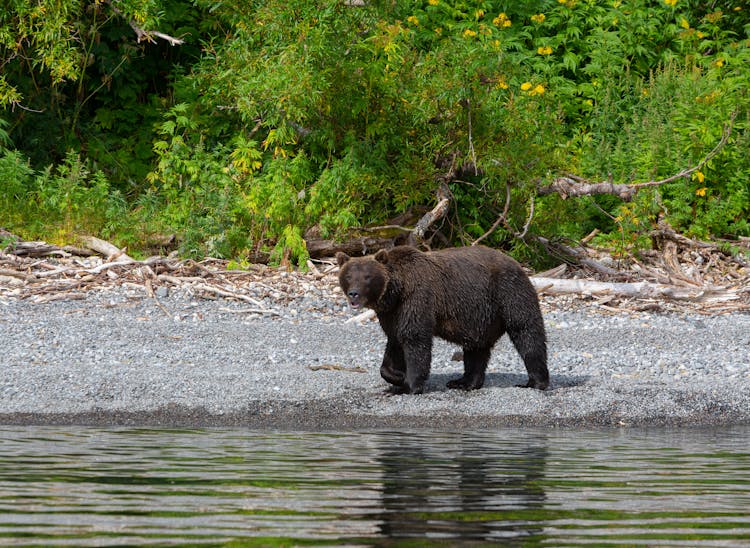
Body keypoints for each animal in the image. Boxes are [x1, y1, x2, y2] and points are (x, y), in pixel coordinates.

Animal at [338, 245, 548, 394]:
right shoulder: (392, 313)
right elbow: (395, 343)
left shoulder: (417, 299)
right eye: (348, 275)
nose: (354, 293)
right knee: (476, 348)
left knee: (527, 332)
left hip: (509, 293)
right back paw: (464, 382)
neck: (396, 292)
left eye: (367, 276)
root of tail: (517, 263)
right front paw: (396, 377)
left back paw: (535, 382)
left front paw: (410, 385)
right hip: (478, 315)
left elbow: (415, 340)